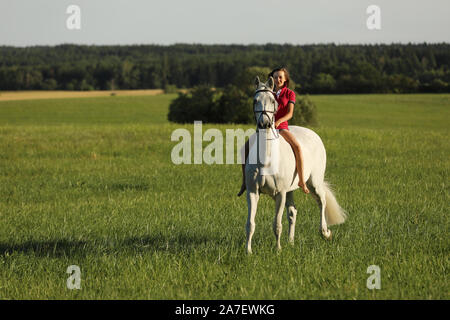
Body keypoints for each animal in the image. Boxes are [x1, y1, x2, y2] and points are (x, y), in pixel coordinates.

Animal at [244, 76, 346, 254]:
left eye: (273, 101)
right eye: (255, 100)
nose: (264, 124)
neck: (266, 159)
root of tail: (314, 134)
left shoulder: (280, 194)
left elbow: (277, 225)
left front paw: (278, 250)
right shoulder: (253, 192)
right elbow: (250, 224)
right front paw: (248, 251)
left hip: (314, 183)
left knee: (322, 201)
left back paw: (325, 233)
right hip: (291, 190)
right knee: (293, 212)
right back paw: (291, 242)